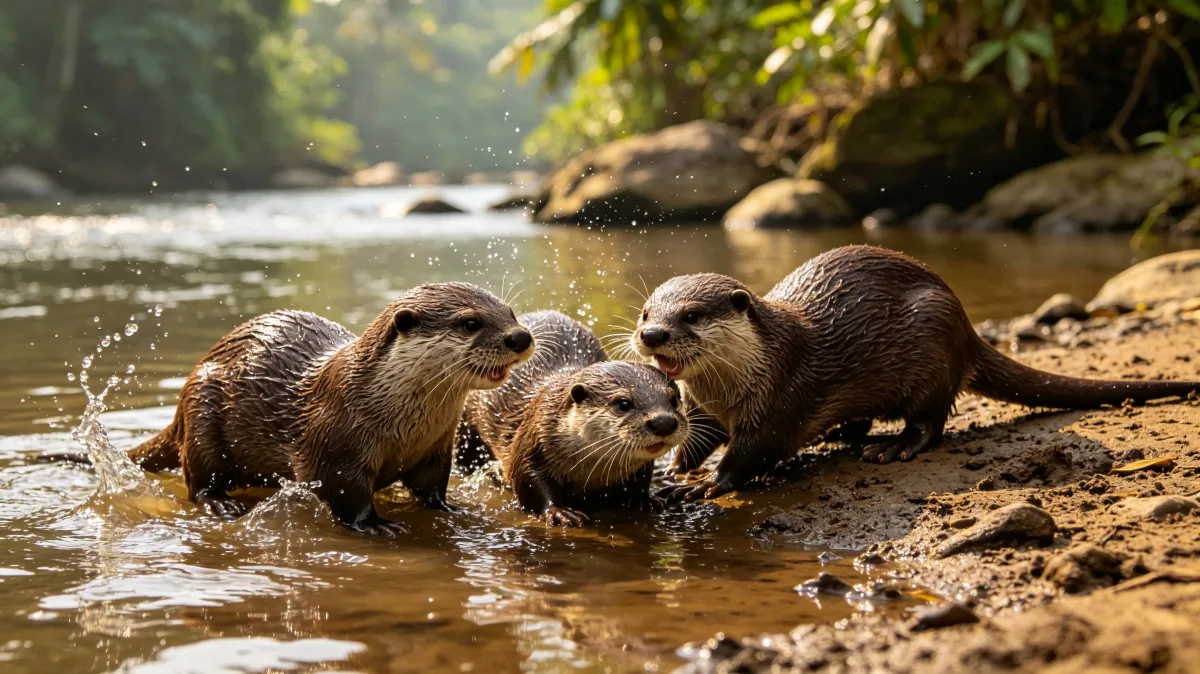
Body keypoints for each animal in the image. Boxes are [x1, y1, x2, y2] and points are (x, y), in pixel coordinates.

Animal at [42, 283, 533, 535]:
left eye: (510, 312)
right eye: (470, 323)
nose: (520, 336)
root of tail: (184, 396)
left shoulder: (435, 447)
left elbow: (431, 487)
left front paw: (451, 509)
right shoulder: (335, 445)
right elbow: (344, 493)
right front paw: (375, 525)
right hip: (203, 413)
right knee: (197, 482)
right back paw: (221, 506)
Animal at [461, 310, 689, 526]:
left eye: (673, 399)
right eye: (623, 403)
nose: (663, 422)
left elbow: (641, 479)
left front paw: (645, 500)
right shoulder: (533, 439)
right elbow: (528, 481)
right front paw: (559, 512)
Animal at [631, 245, 1200, 502]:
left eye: (691, 315)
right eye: (645, 313)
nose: (652, 335)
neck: (740, 382)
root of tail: (967, 326)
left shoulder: (780, 401)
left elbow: (754, 451)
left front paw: (707, 483)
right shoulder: (706, 406)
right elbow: (702, 434)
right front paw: (680, 465)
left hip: (934, 344)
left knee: (931, 419)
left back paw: (893, 447)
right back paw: (843, 434)